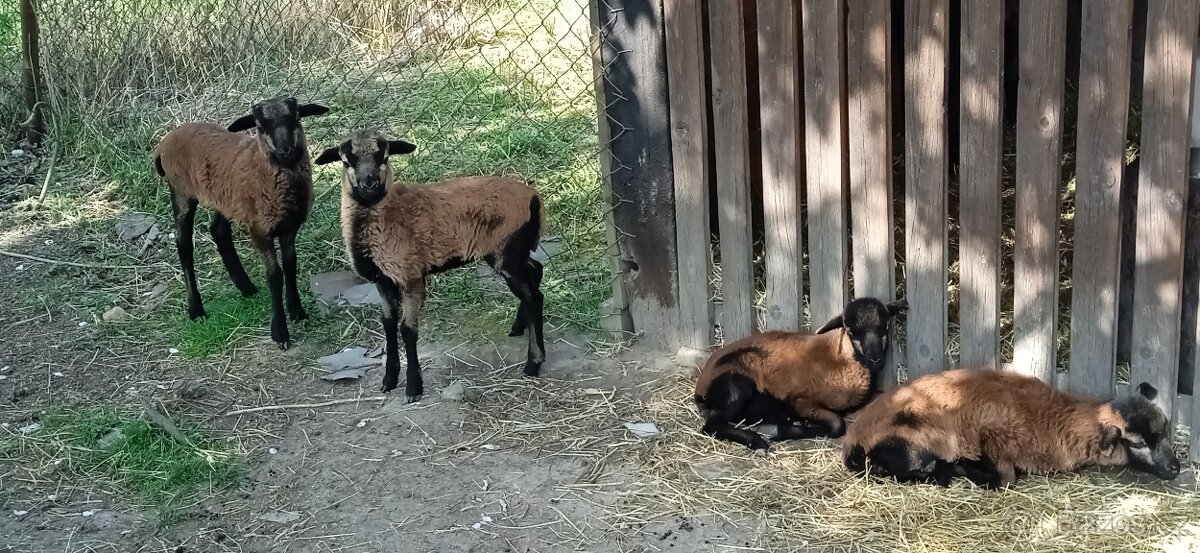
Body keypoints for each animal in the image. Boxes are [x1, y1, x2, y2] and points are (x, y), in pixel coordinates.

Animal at [157, 96, 333, 350]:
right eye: (260, 126)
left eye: (296, 117)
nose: (286, 151)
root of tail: (166, 140)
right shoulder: (260, 231)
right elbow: (275, 275)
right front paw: (280, 331)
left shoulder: (289, 228)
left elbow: (290, 266)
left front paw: (297, 311)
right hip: (181, 193)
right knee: (184, 246)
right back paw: (196, 309)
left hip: (225, 198)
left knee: (218, 231)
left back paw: (246, 287)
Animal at [314, 128, 549, 398]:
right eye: (346, 161)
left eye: (384, 157)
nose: (369, 184)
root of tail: (534, 197)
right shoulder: (382, 281)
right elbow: (388, 323)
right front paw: (389, 380)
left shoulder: (411, 276)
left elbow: (407, 329)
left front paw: (414, 387)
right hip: (512, 252)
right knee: (536, 272)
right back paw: (518, 327)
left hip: (506, 252)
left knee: (534, 297)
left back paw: (533, 363)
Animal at [844, 367, 1180, 487]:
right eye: (1137, 442)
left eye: (1164, 430)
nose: (1175, 468)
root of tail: (854, 438)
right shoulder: (993, 435)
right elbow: (1005, 479)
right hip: (915, 445)